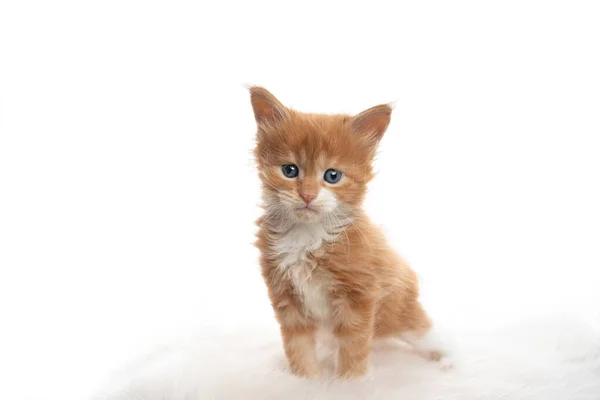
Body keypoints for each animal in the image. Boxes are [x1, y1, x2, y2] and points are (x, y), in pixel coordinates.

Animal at [248, 86, 446, 378]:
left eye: (332, 176)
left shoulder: (359, 295)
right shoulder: (286, 298)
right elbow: (299, 347)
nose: (307, 195)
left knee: (423, 329)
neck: (308, 235)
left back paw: (447, 359)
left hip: (398, 308)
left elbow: (354, 346)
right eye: (289, 170)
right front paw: (306, 380)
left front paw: (351, 382)